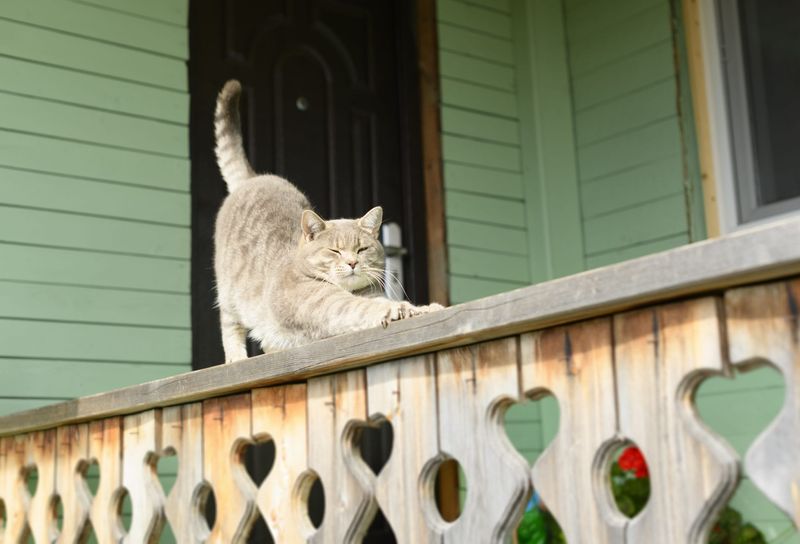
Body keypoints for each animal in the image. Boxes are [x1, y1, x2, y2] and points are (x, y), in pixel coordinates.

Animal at [211, 81, 444, 362]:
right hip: (229, 294)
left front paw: (423, 308)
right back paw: (236, 358)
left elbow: (385, 302)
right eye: (335, 250)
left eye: (362, 249)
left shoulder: (373, 293)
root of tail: (253, 177)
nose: (352, 262)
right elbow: (361, 309)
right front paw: (397, 310)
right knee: (229, 326)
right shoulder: (327, 304)